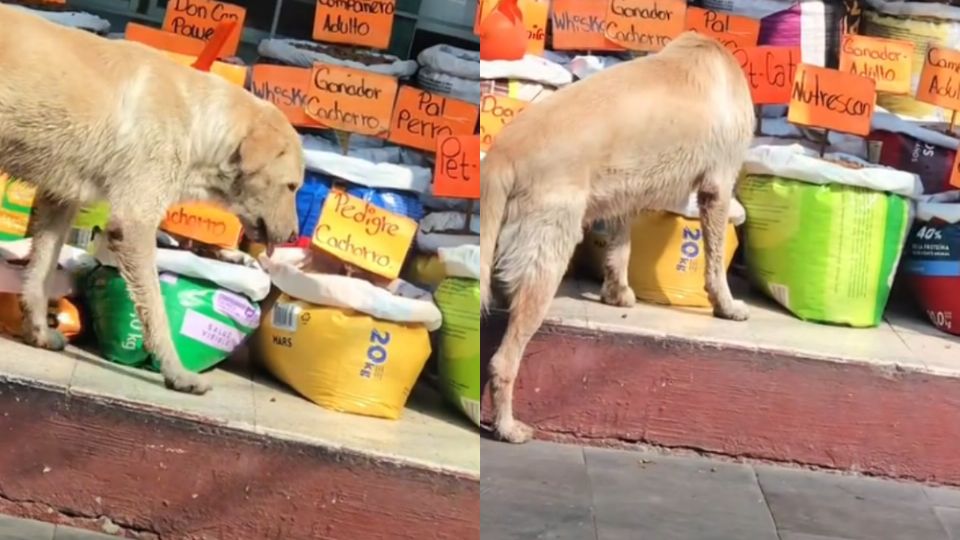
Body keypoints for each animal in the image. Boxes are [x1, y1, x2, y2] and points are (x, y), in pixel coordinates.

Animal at [0, 3, 304, 392]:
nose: (295, 235)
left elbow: (40, 273)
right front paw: (177, 373)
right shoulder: (134, 223)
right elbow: (156, 312)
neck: (198, 121)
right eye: (292, 186)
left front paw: (39, 331)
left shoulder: (60, 200)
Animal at [484, 33, 752, 446]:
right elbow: (715, 260)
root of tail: (502, 155)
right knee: (504, 358)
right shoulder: (718, 185)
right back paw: (507, 427)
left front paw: (617, 293)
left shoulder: (622, 189)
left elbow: (619, 247)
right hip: (547, 252)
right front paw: (727, 305)